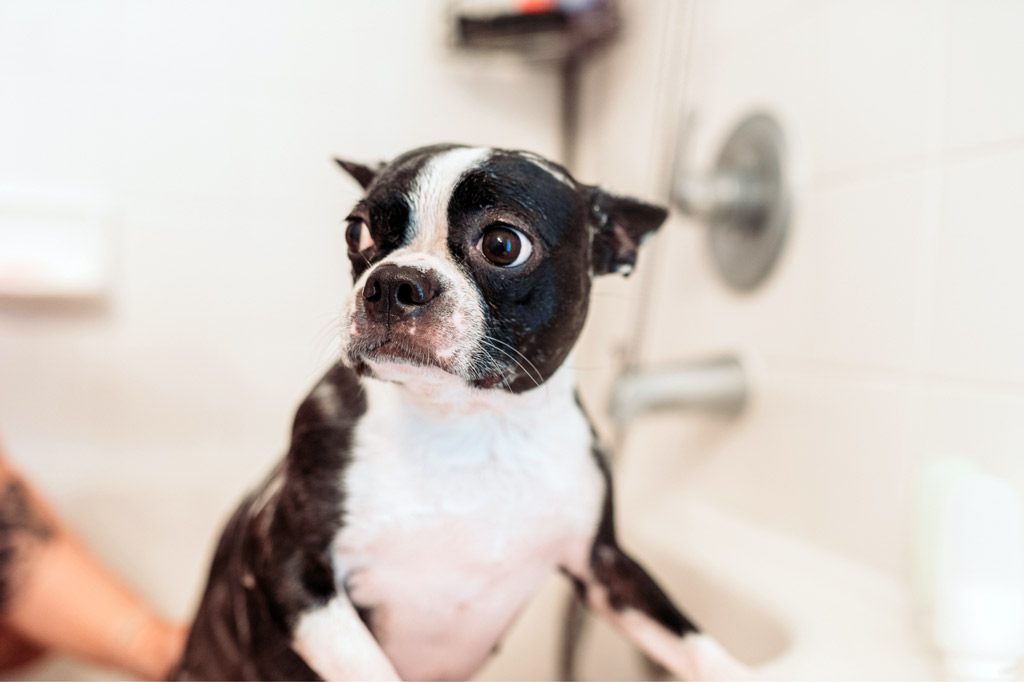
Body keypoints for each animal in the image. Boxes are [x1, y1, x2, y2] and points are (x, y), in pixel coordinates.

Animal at [174, 143, 753, 679]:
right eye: (357, 233)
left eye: (502, 244)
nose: (392, 281)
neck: (471, 423)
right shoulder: (289, 561)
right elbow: (369, 668)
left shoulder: (605, 564)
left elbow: (691, 640)